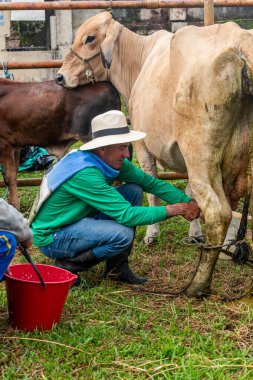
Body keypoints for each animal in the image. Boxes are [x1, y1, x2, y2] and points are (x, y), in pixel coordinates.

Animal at [0, 79, 120, 209]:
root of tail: (105, 83)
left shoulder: (4, 144)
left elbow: (9, 177)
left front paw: (14, 206)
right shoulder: (14, 146)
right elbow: (14, 174)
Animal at [56, 11, 253, 296]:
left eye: (89, 38)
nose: (59, 77)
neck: (139, 60)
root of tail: (239, 40)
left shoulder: (144, 145)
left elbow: (151, 189)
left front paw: (151, 233)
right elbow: (188, 194)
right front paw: (194, 234)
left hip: (200, 155)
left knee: (219, 212)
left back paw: (197, 285)